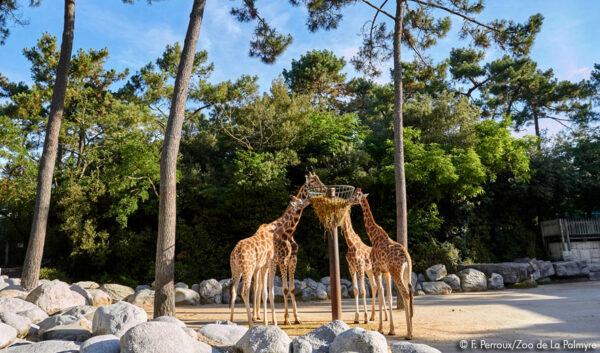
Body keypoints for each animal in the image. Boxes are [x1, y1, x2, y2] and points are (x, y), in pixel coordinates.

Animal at [230, 194, 312, 326]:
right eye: (301, 201)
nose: (309, 200)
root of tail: (235, 253)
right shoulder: (274, 262)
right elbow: (273, 292)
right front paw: (276, 322)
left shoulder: (265, 266)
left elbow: (265, 293)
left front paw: (267, 322)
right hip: (248, 269)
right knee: (245, 291)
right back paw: (251, 323)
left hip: (236, 269)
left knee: (234, 290)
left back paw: (231, 321)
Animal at [352, 188, 412, 336]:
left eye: (353, 196)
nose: (348, 201)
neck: (374, 237)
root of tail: (407, 258)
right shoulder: (386, 272)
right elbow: (388, 296)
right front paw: (391, 329)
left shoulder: (376, 269)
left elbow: (380, 296)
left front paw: (380, 328)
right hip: (406, 273)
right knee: (409, 292)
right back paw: (411, 330)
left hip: (396, 272)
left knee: (405, 293)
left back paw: (409, 334)